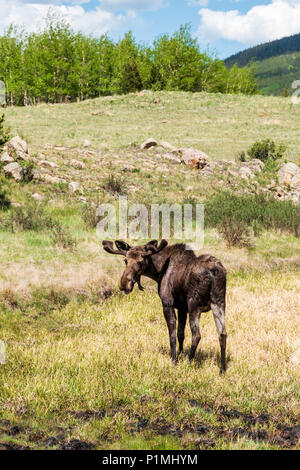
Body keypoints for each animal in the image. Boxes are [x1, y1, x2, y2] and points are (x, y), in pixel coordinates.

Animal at [103, 241, 227, 372]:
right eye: (125, 260)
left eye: (141, 262)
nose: (123, 284)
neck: (157, 272)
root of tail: (215, 271)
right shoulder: (182, 308)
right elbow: (180, 334)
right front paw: (180, 354)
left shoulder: (168, 304)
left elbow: (172, 337)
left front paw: (174, 361)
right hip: (219, 302)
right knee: (222, 334)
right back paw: (222, 369)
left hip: (194, 304)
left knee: (197, 335)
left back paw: (189, 363)